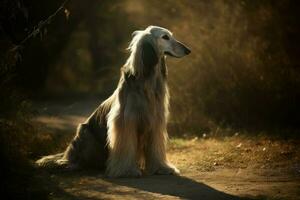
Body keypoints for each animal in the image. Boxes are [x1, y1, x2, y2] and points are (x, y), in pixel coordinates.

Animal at [35, 25, 190, 177]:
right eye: (165, 37)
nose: (188, 50)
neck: (147, 79)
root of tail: (66, 154)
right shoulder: (125, 121)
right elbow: (125, 148)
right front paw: (126, 170)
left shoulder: (156, 121)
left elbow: (155, 148)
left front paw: (161, 168)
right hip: (86, 135)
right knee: (76, 159)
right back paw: (73, 165)